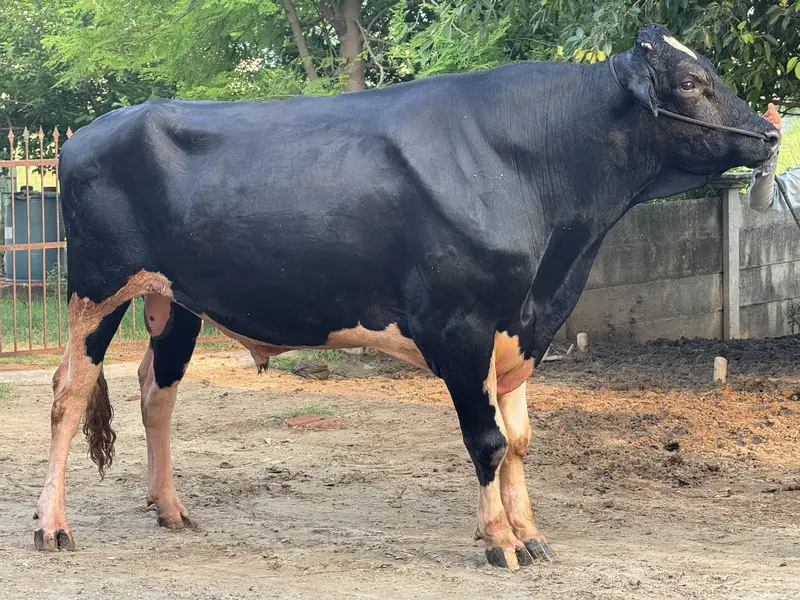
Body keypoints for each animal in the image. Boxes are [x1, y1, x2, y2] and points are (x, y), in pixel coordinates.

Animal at [33, 24, 778, 570]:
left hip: (176, 301)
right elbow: (486, 440)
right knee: (68, 394)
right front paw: (499, 541)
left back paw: (170, 508)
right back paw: (52, 525)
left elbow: (520, 441)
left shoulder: (523, 328)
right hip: (96, 288)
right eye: (690, 82)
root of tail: (93, 130)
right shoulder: (461, 325)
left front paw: (530, 532)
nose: (772, 133)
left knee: (156, 392)